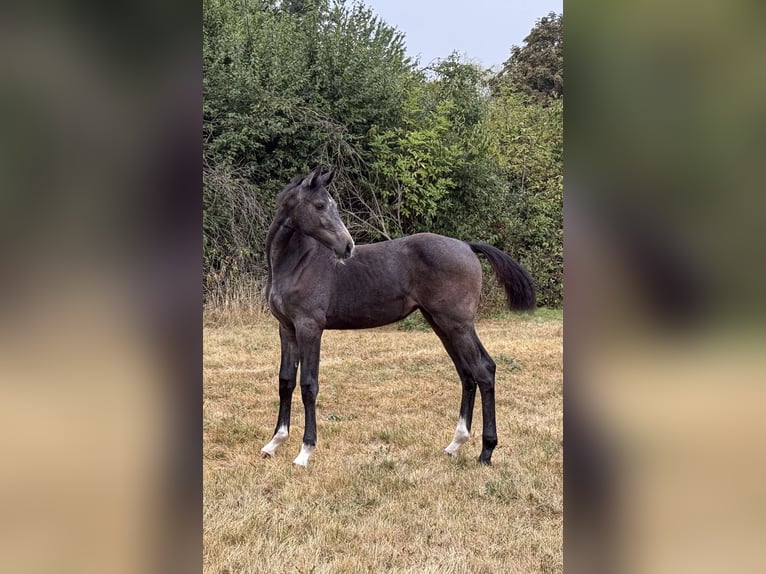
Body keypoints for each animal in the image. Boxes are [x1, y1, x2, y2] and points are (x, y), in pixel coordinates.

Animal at [260, 168, 536, 466]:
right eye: (320, 205)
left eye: (332, 205)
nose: (347, 246)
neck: (297, 264)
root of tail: (466, 245)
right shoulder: (287, 328)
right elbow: (285, 381)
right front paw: (274, 443)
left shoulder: (310, 327)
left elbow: (309, 385)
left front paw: (305, 452)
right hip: (440, 323)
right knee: (467, 373)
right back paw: (456, 444)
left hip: (458, 324)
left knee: (484, 370)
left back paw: (486, 451)